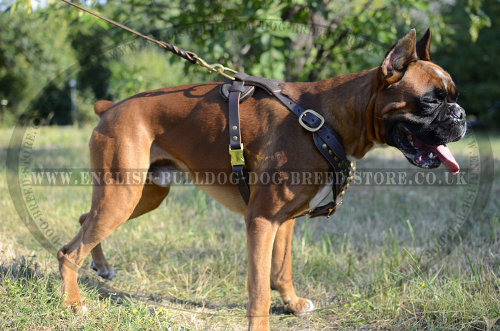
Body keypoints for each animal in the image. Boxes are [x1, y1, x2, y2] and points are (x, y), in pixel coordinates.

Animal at [57, 29, 464, 331]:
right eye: (431, 101)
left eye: (453, 98)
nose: (460, 115)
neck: (324, 119)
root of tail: (110, 107)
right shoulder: (261, 220)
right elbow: (259, 289)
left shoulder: (284, 220)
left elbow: (281, 269)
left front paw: (293, 304)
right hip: (123, 193)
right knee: (68, 252)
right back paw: (74, 304)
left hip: (143, 194)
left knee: (83, 221)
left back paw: (100, 268)